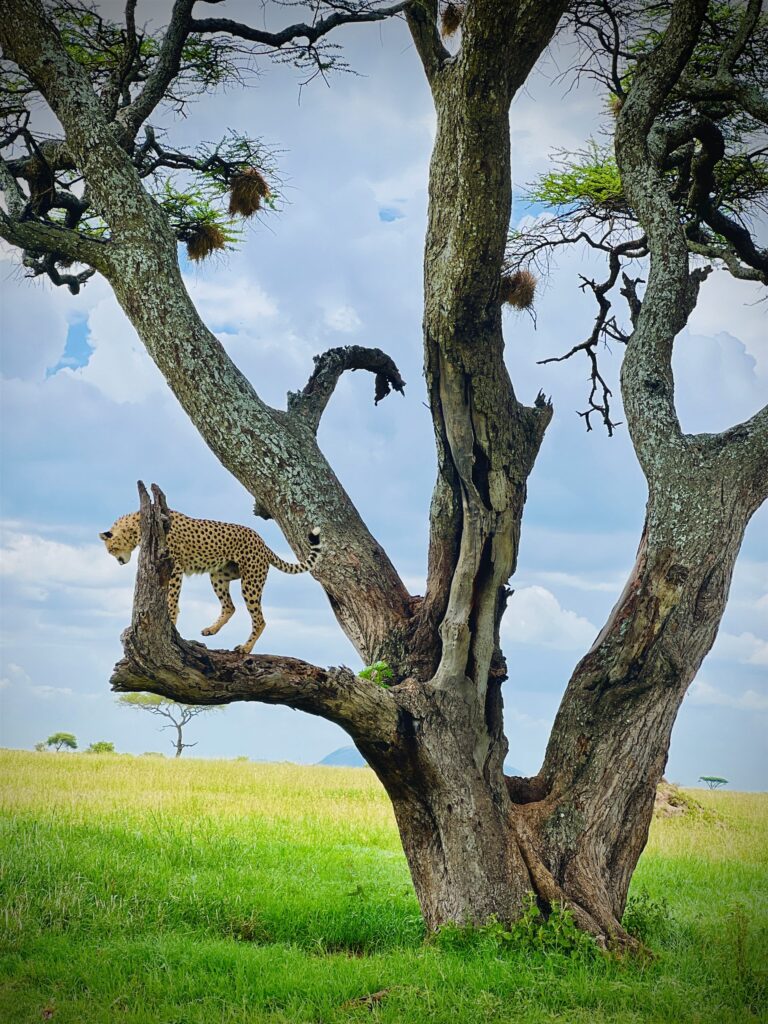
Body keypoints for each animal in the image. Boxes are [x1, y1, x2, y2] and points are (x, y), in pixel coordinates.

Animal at [99, 510, 321, 655]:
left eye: (111, 549)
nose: (119, 562)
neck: (136, 525)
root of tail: (262, 541)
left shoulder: (175, 568)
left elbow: (172, 599)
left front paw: (171, 621)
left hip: (250, 582)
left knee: (259, 619)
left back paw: (246, 648)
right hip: (218, 576)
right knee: (230, 606)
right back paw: (211, 629)